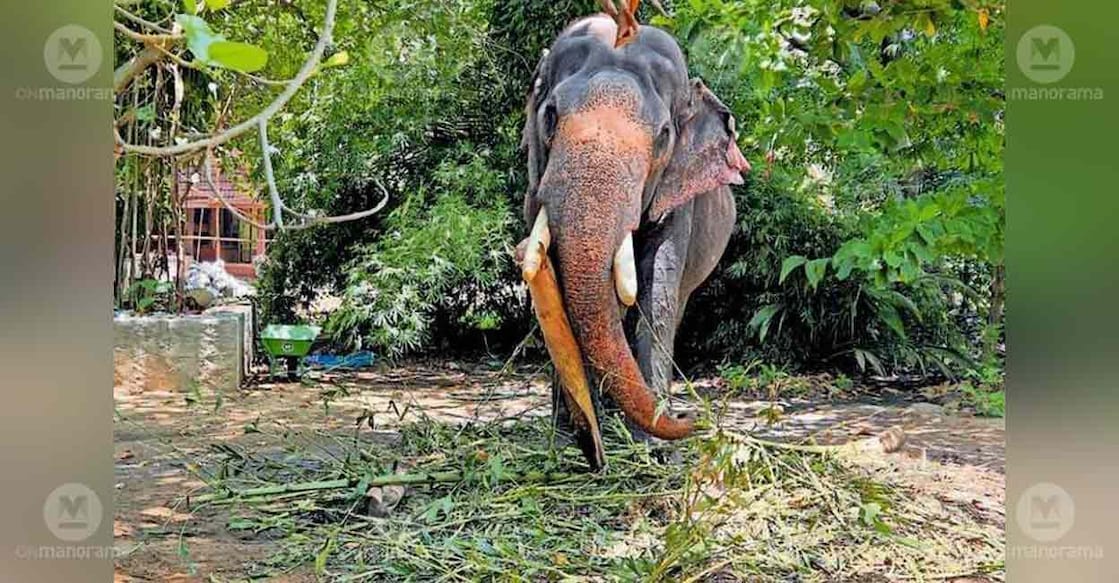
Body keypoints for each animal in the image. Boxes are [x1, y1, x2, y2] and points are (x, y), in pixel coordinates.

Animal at [519, 14, 750, 467]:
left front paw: (652, 448)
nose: (696, 420)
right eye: (551, 114)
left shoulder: (677, 201)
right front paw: (565, 441)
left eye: (663, 134)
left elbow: (657, 288)